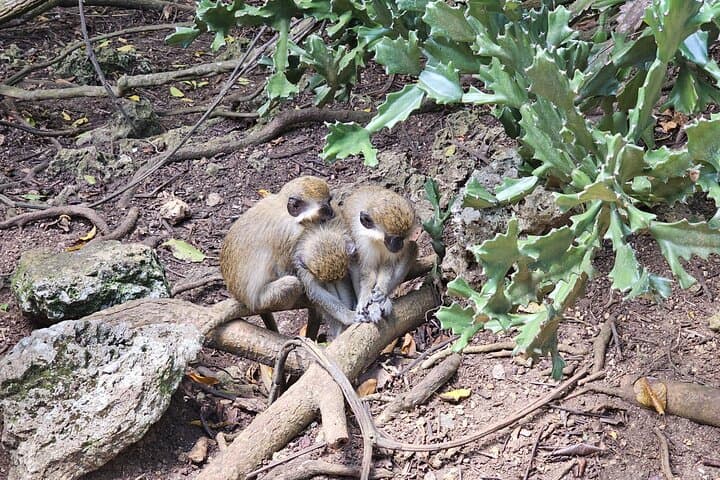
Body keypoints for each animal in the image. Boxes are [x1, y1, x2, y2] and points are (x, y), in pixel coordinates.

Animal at [219, 176, 334, 332]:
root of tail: (242, 299)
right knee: (291, 283)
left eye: (330, 201)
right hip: (263, 301)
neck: (284, 210)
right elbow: (283, 269)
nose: (332, 212)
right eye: (325, 207)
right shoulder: (289, 234)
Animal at [341, 186, 419, 324]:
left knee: (412, 248)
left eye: (403, 238)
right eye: (395, 239)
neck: (377, 240)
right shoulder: (362, 241)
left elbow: (388, 265)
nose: (400, 245)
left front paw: (381, 290)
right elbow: (368, 271)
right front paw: (365, 297)